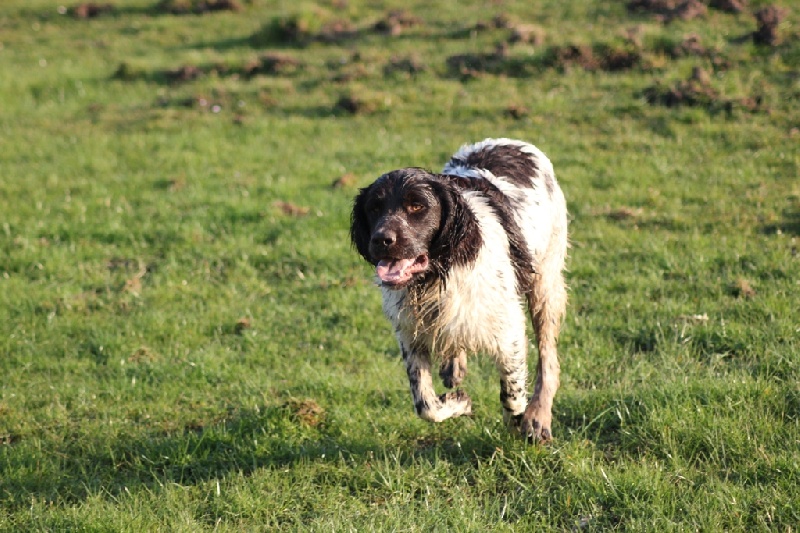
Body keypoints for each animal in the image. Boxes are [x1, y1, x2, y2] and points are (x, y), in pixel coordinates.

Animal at [352, 138, 568, 440]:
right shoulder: (409, 334)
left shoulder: (510, 330)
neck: (436, 276)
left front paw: (519, 419)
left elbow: (513, 393)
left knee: (548, 359)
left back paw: (538, 417)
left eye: (417, 206)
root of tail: (511, 142)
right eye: (373, 208)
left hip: (545, 285)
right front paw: (460, 402)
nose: (382, 239)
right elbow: (426, 405)